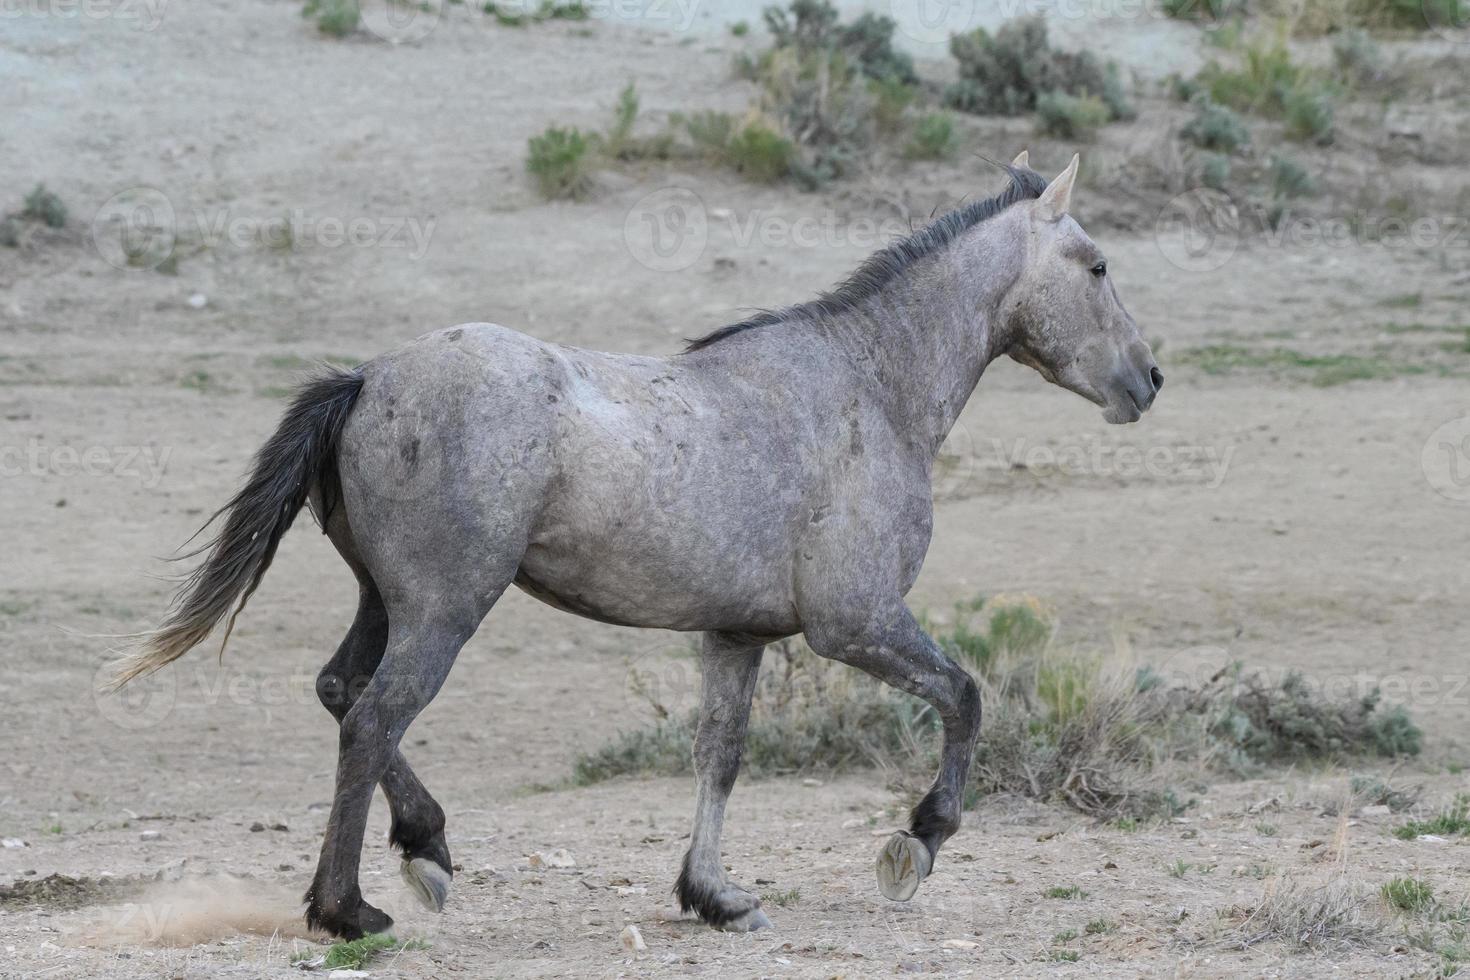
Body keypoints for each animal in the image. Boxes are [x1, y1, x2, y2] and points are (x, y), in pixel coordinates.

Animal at [106, 149, 1158, 940]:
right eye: (1099, 265)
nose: (1148, 380)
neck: (871, 387)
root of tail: (367, 379)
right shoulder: (854, 624)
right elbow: (966, 695)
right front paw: (917, 844)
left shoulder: (739, 637)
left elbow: (719, 756)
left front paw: (715, 897)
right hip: (444, 612)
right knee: (372, 719)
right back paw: (350, 910)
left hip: (385, 601)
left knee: (339, 692)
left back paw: (427, 848)